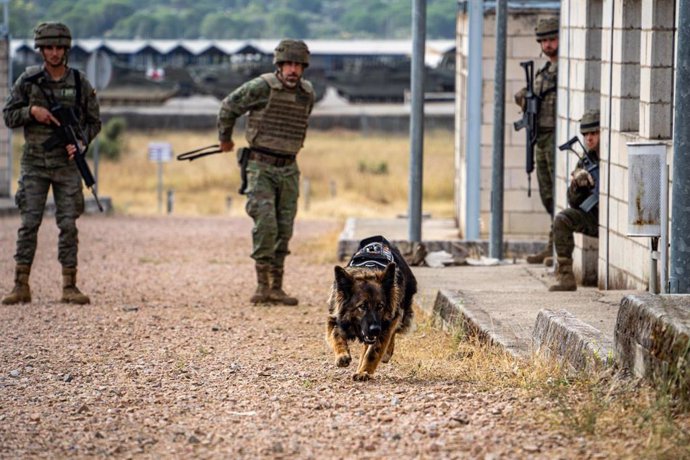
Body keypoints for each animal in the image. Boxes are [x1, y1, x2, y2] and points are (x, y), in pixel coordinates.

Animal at [326, 237, 416, 380]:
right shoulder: (334, 317)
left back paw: (385, 354)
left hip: (399, 312)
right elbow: (336, 335)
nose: (375, 329)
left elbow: (374, 351)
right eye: (362, 306)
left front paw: (365, 371)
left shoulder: (387, 322)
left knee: (392, 333)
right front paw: (342, 355)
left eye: (380, 306)